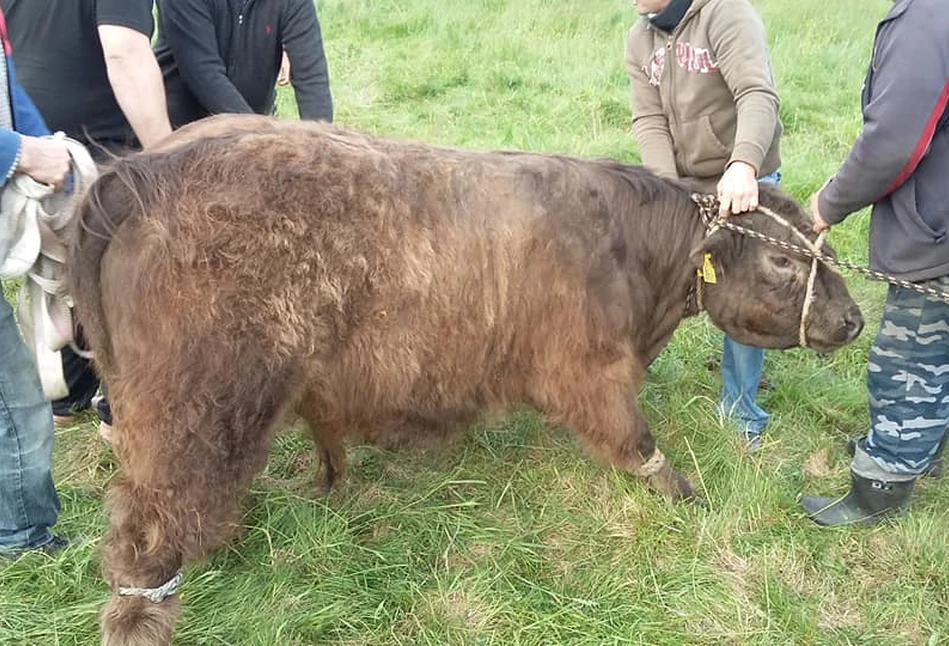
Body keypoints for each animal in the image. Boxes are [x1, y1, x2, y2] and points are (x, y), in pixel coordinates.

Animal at [70, 114, 864, 644]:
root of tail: (138, 172)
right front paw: (691, 499)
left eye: (821, 250)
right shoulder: (591, 370)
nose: (854, 320)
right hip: (192, 412)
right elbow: (638, 444)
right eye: (784, 262)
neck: (633, 255)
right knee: (145, 535)